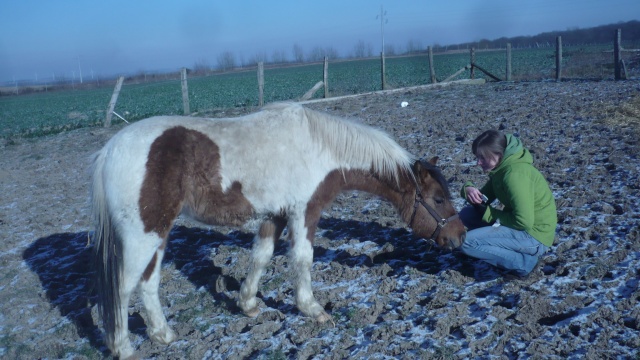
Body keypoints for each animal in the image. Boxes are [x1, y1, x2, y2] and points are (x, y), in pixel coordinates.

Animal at [91, 101, 464, 358]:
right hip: (143, 235)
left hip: (158, 234)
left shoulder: (277, 215)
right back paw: (124, 347)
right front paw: (312, 309)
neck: (320, 148)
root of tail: (109, 151)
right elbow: (302, 259)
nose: (459, 236)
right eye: (439, 197)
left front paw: (248, 304)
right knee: (124, 288)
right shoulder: (304, 211)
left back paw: (163, 335)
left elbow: (261, 256)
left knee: (148, 282)